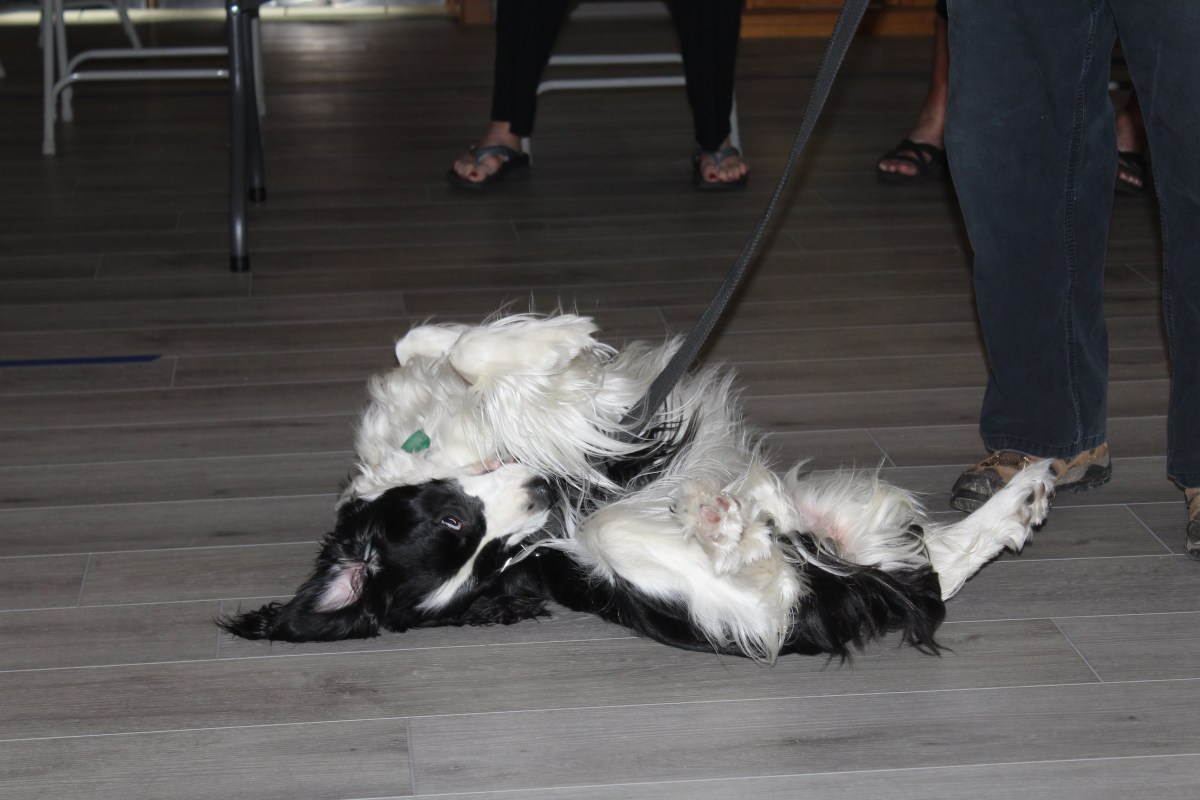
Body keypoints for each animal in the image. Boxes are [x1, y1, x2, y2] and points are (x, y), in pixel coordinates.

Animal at [221, 313, 1053, 661]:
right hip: (673, 572)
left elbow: (437, 344)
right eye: (469, 541)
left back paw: (1026, 492)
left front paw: (546, 338)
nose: (542, 499)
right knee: (781, 581)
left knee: (933, 557)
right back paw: (727, 519)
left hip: (839, 521)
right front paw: (557, 340)